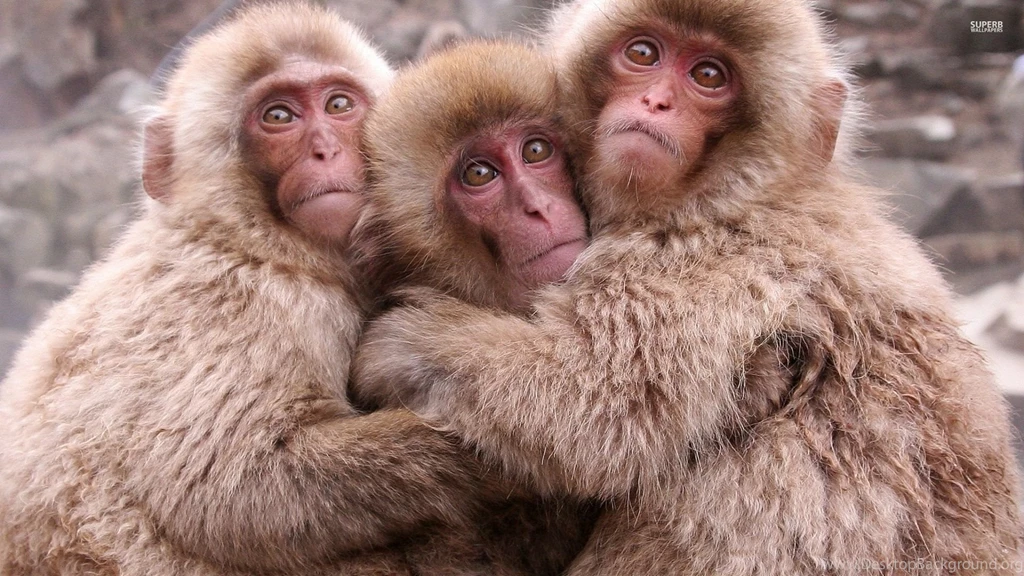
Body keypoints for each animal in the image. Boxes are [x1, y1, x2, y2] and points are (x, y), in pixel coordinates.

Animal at [0, 4, 573, 575]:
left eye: (338, 104)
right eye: (278, 117)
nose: (325, 149)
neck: (257, 243)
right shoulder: (251, 305)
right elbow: (228, 490)